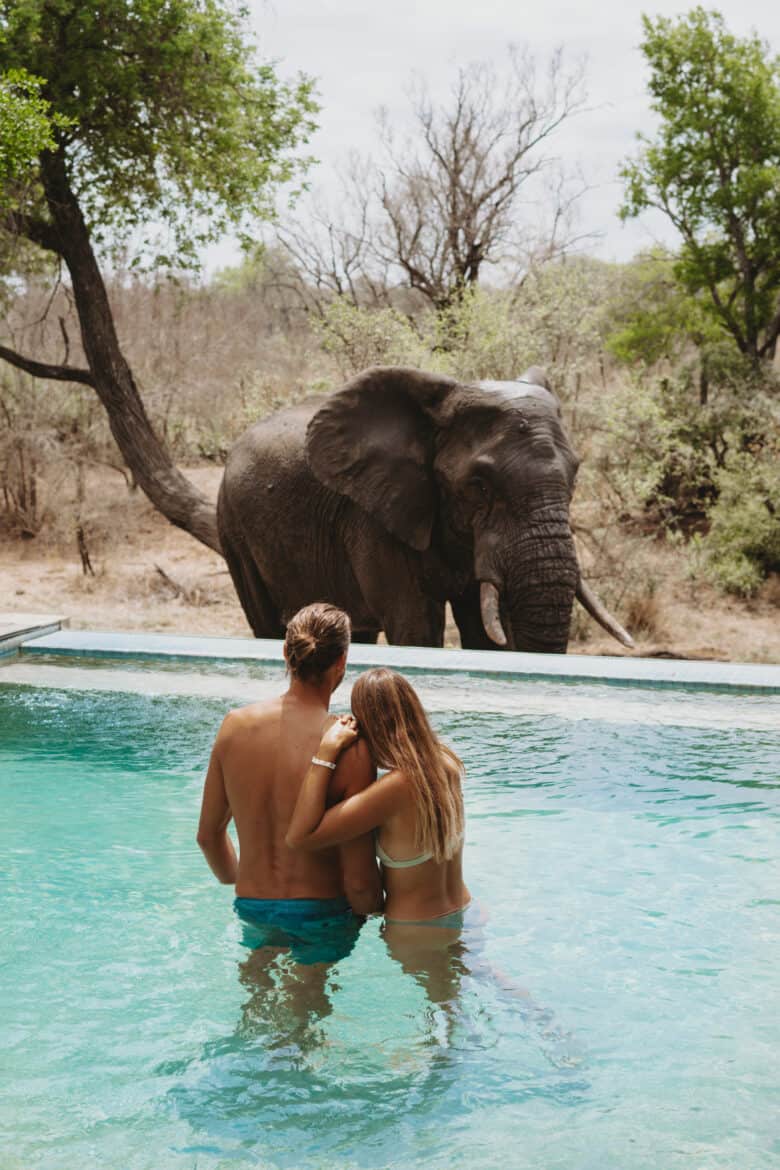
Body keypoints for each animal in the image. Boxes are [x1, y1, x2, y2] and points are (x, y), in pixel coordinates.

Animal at [218, 365, 636, 655]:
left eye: (575, 474)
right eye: (479, 485)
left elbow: (482, 632)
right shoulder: (374, 517)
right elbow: (416, 625)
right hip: (234, 528)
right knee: (268, 626)